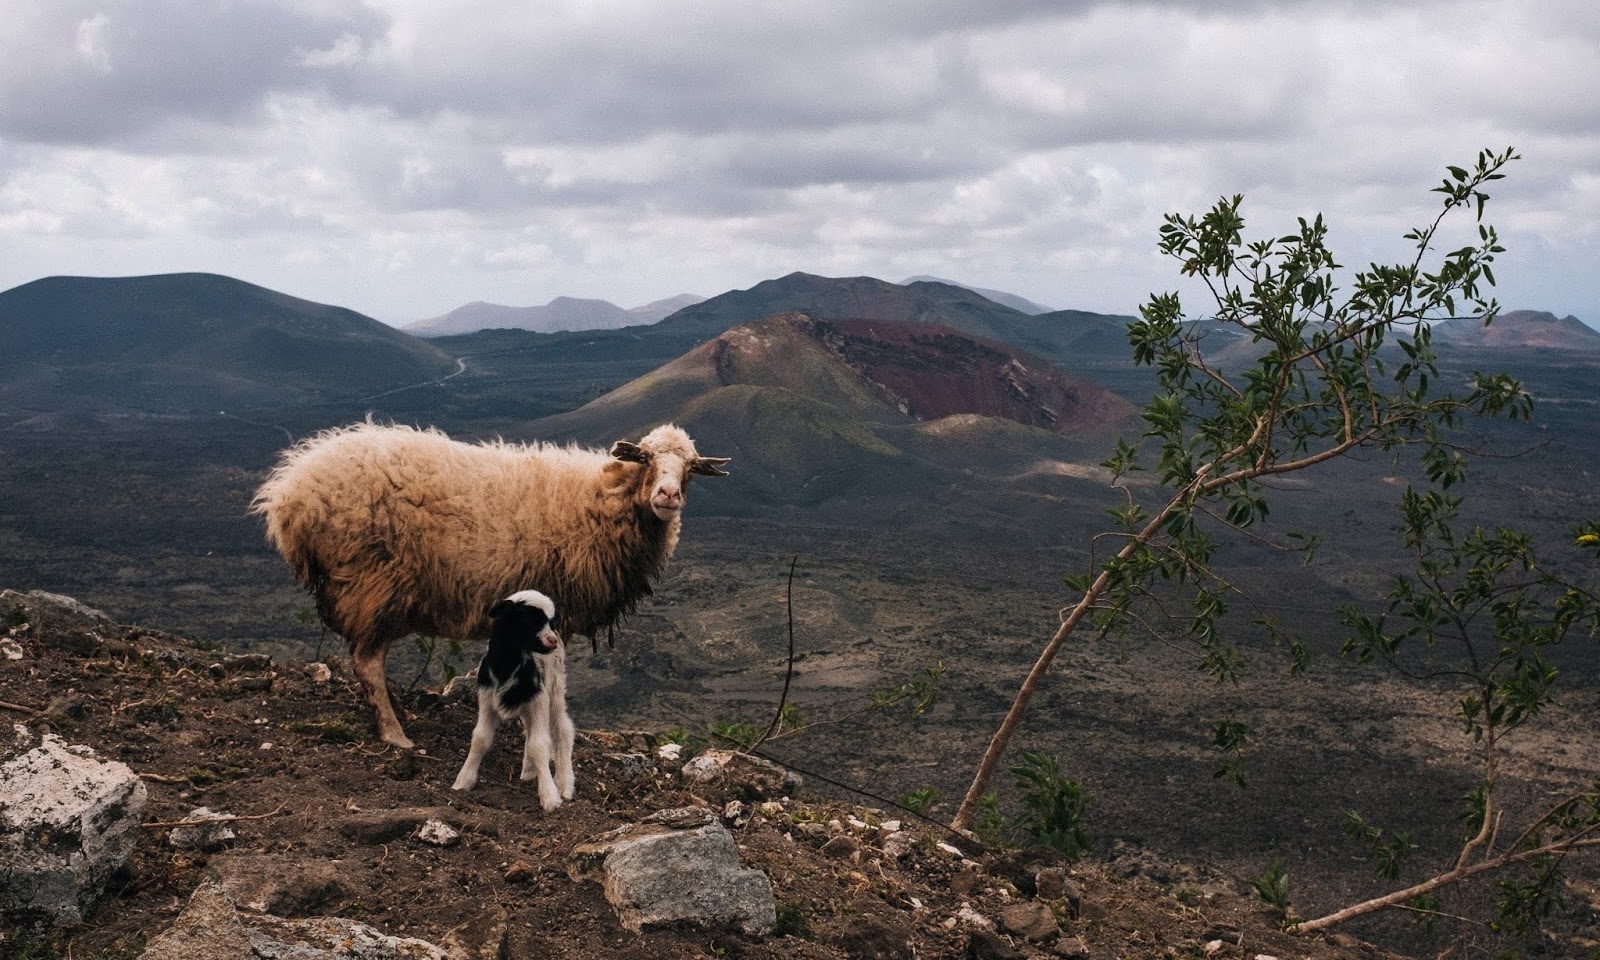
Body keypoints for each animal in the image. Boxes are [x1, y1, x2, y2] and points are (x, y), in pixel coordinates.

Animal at [249, 419, 732, 748]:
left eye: (691, 467)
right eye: (646, 458)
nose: (668, 496)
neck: (602, 498)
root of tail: (290, 495)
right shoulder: (554, 611)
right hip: (375, 580)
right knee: (366, 661)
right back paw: (394, 733)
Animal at [451, 588, 576, 806]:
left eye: (551, 622)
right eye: (529, 619)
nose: (551, 640)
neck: (507, 664)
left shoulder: (539, 698)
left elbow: (539, 745)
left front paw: (550, 797)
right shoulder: (487, 699)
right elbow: (480, 739)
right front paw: (463, 781)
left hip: (555, 688)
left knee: (562, 729)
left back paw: (564, 784)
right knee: (530, 730)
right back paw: (529, 771)